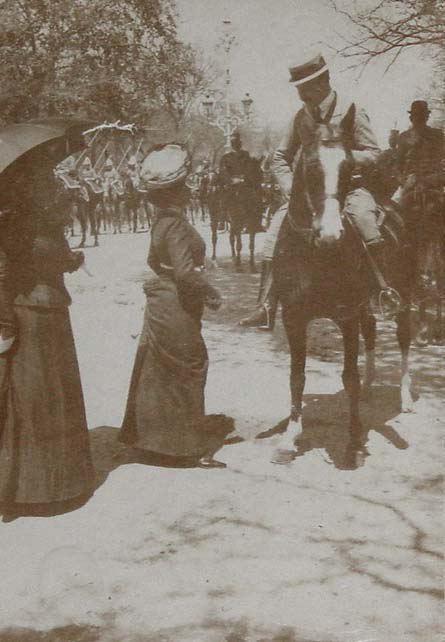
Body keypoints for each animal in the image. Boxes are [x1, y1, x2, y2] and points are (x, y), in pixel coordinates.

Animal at [272, 124, 414, 464]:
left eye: (349, 168)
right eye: (311, 168)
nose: (330, 233)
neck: (315, 256)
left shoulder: (346, 317)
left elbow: (348, 376)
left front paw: (353, 440)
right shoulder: (293, 318)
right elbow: (297, 377)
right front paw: (289, 438)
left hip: (403, 297)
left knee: (404, 339)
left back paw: (405, 396)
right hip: (367, 307)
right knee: (371, 333)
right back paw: (369, 385)